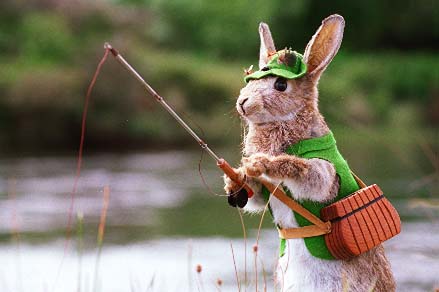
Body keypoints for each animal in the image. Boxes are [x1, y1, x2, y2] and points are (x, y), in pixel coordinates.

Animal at [225, 14, 398, 292]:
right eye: (250, 81)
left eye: (281, 84)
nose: (243, 103)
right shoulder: (264, 192)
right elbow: (254, 198)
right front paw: (236, 180)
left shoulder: (326, 171)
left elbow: (306, 173)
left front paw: (263, 163)